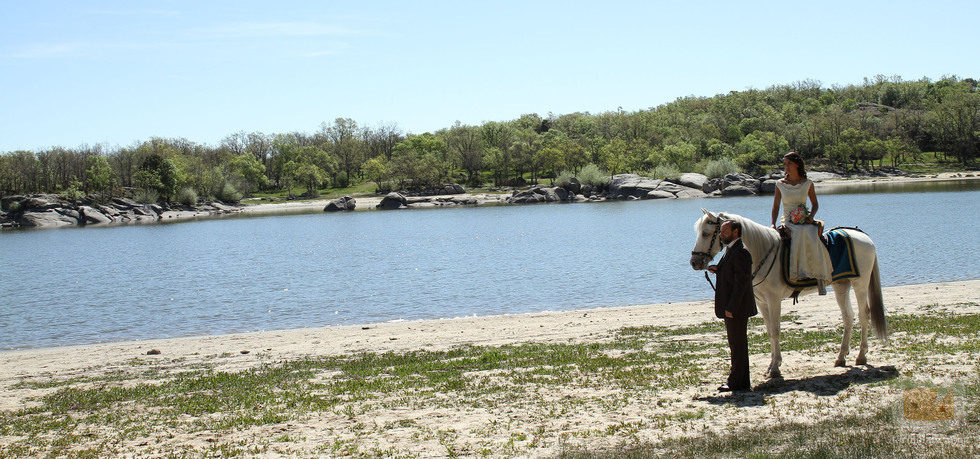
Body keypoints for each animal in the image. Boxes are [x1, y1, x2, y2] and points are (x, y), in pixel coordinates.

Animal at [689, 209, 887, 379]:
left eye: (706, 233)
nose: (694, 262)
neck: (761, 252)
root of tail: (862, 235)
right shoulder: (762, 302)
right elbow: (770, 330)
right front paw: (772, 365)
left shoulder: (774, 300)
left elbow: (776, 331)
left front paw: (775, 369)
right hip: (841, 286)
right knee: (848, 317)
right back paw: (841, 357)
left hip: (860, 285)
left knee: (863, 315)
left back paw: (861, 355)